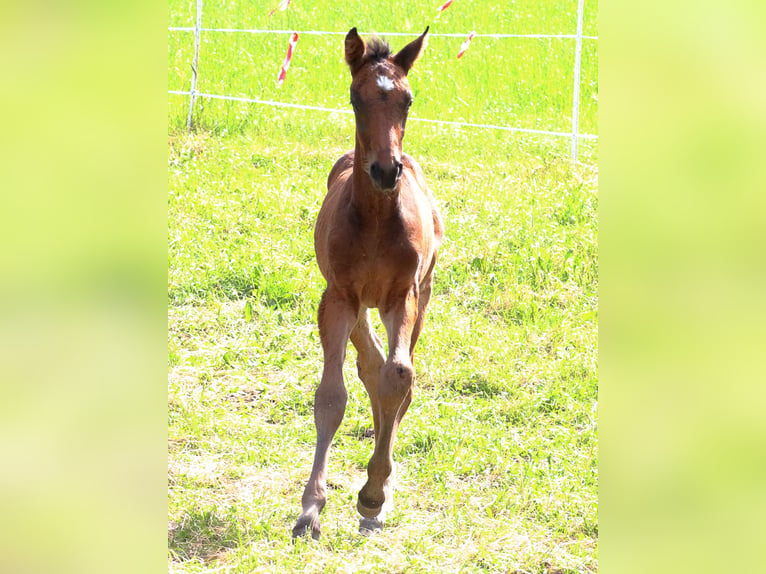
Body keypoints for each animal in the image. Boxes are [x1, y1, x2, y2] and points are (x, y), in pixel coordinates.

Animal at [294, 27, 448, 540]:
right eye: (355, 98)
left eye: (408, 99)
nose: (385, 170)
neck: (379, 219)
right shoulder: (338, 297)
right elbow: (332, 394)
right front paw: (311, 508)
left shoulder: (404, 295)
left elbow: (399, 376)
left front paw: (374, 494)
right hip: (357, 302)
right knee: (368, 362)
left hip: (419, 295)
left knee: (393, 374)